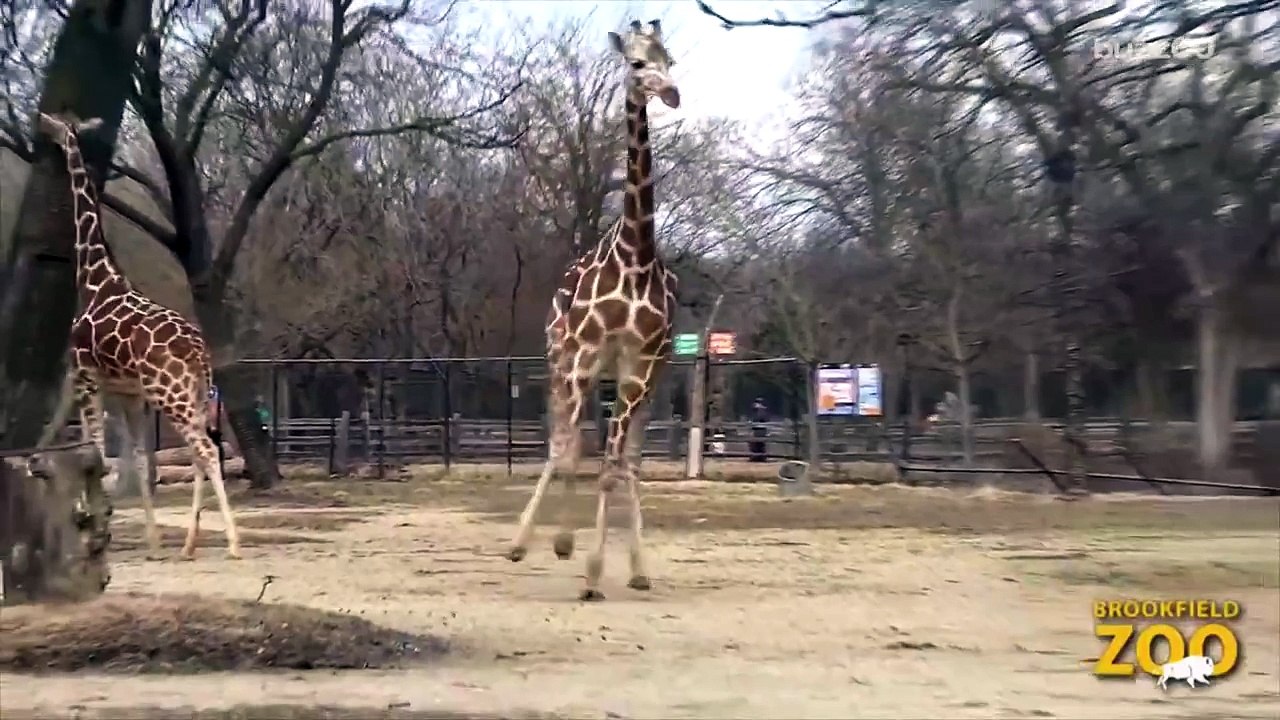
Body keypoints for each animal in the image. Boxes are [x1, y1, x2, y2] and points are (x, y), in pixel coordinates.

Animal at [33, 111, 242, 561]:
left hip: (171, 395)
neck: (96, 279)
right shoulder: (126, 393)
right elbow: (140, 460)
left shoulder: (86, 377)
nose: (41, 126)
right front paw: (151, 542)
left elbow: (95, 451)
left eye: (57, 125)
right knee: (201, 453)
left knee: (206, 451)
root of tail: (198, 351)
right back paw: (188, 543)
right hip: (195, 394)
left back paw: (233, 542)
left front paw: (98, 531)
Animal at [507, 20, 680, 601]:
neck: (636, 254)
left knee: (620, 459)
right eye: (636, 63)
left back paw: (624, 563)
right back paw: (532, 541)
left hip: (633, 376)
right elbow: (569, 450)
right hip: (562, 359)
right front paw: (580, 563)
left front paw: (608, 569)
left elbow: (616, 466)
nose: (672, 93)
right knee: (563, 442)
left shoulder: (640, 368)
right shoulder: (583, 359)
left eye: (669, 59)